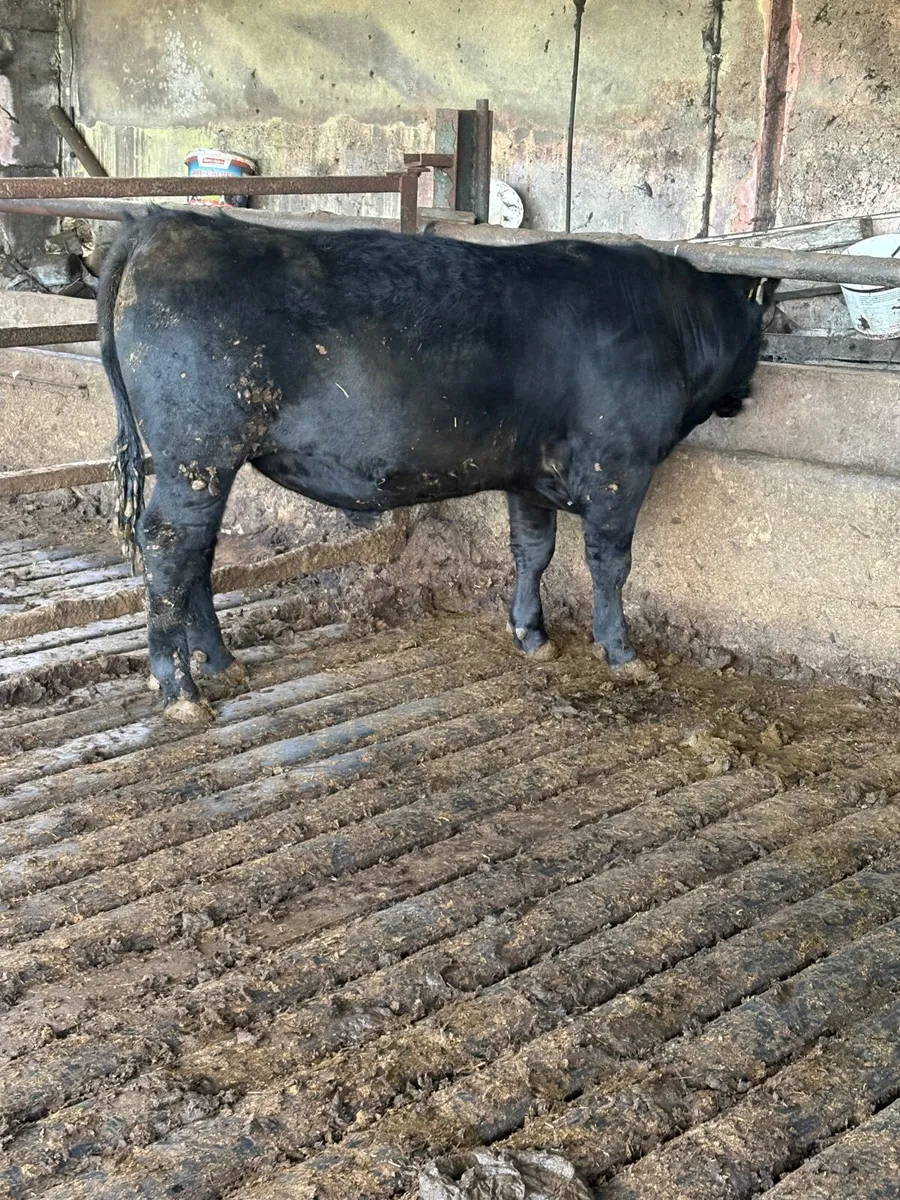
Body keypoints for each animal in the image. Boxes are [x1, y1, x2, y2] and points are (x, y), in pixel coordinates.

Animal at [98, 207, 775, 722]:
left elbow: (534, 550)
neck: (669, 323)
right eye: (764, 334)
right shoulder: (620, 469)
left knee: (196, 553)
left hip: (204, 465)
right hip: (199, 452)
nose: (748, 397)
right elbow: (610, 566)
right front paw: (621, 652)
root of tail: (160, 223)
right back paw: (180, 689)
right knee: (169, 545)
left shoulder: (529, 475)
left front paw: (531, 635)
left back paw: (218, 662)